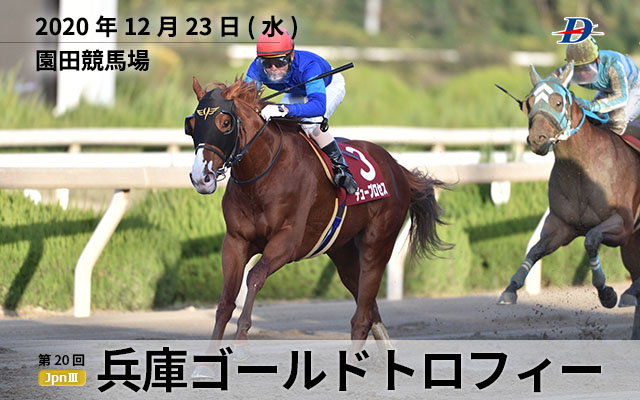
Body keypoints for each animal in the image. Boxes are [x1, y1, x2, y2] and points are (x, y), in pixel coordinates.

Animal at [185, 76, 450, 349]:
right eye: (191, 125)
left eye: (225, 123)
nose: (201, 178)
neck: (263, 174)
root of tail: (397, 167)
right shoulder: (236, 241)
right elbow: (225, 302)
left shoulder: (287, 242)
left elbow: (255, 277)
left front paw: (241, 339)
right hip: (343, 252)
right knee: (370, 310)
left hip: (378, 244)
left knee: (362, 318)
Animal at [497, 62, 640, 339]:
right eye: (529, 102)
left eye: (558, 101)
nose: (538, 139)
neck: (581, 169)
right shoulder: (562, 226)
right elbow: (535, 250)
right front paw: (510, 289)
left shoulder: (623, 225)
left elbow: (591, 240)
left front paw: (607, 293)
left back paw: (628, 293)